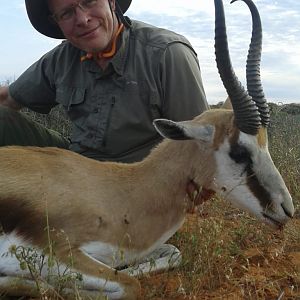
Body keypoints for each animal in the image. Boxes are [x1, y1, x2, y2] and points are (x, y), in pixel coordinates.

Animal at [0, 0, 294, 298]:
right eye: (240, 152)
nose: (287, 210)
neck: (121, 192)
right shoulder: (54, 250)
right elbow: (131, 285)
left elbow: (169, 255)